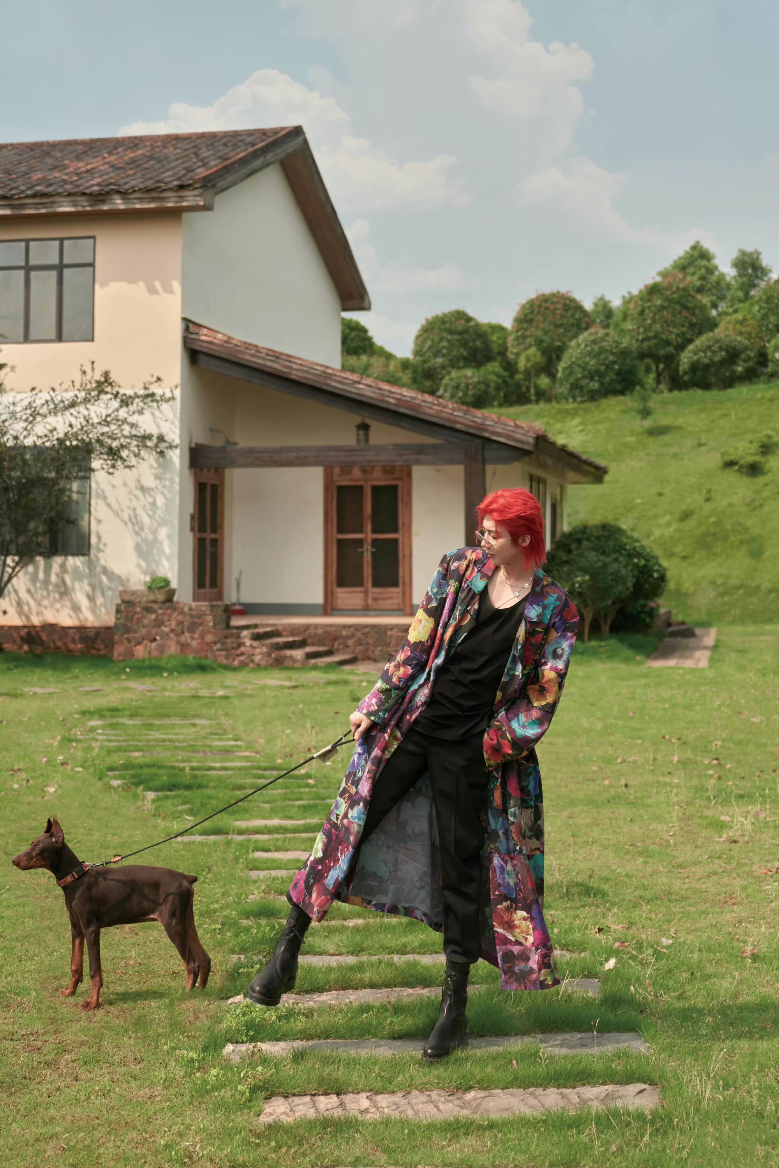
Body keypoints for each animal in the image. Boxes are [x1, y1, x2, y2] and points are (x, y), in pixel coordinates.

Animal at [11, 817, 210, 1010]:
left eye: (37, 847)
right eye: (31, 843)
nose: (13, 860)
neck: (76, 879)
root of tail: (186, 878)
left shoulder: (91, 929)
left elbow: (94, 970)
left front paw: (92, 1003)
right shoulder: (76, 928)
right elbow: (75, 965)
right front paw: (70, 991)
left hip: (172, 924)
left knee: (192, 963)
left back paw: (186, 995)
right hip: (186, 921)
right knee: (204, 959)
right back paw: (200, 990)